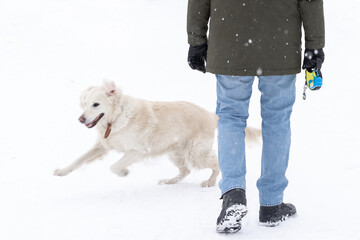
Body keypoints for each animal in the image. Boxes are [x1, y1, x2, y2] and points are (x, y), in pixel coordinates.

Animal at [53, 81, 260, 187]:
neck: (116, 118)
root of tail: (211, 114)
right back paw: (169, 181)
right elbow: (79, 159)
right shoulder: (102, 146)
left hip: (196, 153)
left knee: (216, 164)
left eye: (96, 104)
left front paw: (124, 172)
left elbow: (114, 166)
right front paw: (62, 171)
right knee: (185, 170)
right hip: (175, 152)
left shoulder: (136, 151)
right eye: (85, 103)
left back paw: (209, 182)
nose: (80, 119)